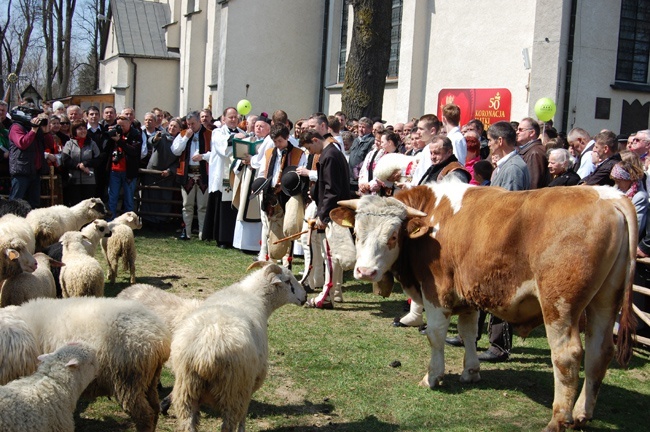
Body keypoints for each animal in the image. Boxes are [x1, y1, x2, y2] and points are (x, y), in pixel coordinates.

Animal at [162, 264, 304, 432]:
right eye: (288, 281)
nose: (305, 296)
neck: (255, 296)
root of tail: (206, 354)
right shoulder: (250, 384)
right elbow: (244, 415)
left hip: (187, 390)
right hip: (233, 392)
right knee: (229, 424)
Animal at [332, 181, 636, 432]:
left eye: (393, 236)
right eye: (356, 232)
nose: (365, 271)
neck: (432, 218)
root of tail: (608, 196)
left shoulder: (436, 292)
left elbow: (435, 335)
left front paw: (433, 376)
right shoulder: (467, 297)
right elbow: (468, 333)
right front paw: (471, 371)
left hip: (560, 305)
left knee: (568, 355)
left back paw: (559, 419)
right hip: (604, 301)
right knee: (599, 352)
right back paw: (583, 413)